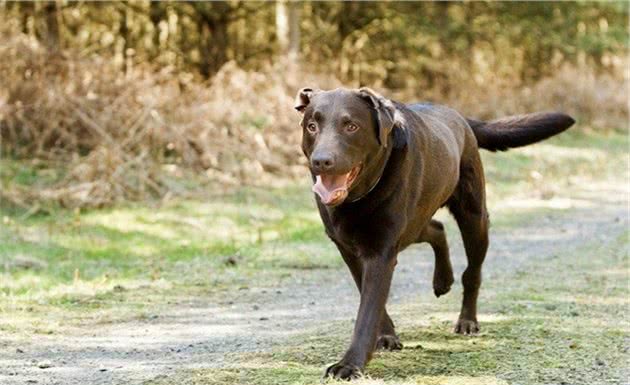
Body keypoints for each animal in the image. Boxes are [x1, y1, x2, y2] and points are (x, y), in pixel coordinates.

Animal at [294, 87, 576, 378]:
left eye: (351, 126)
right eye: (312, 126)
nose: (321, 161)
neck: (357, 198)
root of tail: (459, 116)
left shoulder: (381, 251)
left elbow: (368, 311)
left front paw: (350, 364)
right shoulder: (350, 250)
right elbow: (369, 297)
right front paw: (386, 335)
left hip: (474, 218)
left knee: (471, 273)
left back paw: (467, 320)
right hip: (415, 222)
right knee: (436, 229)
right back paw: (442, 280)